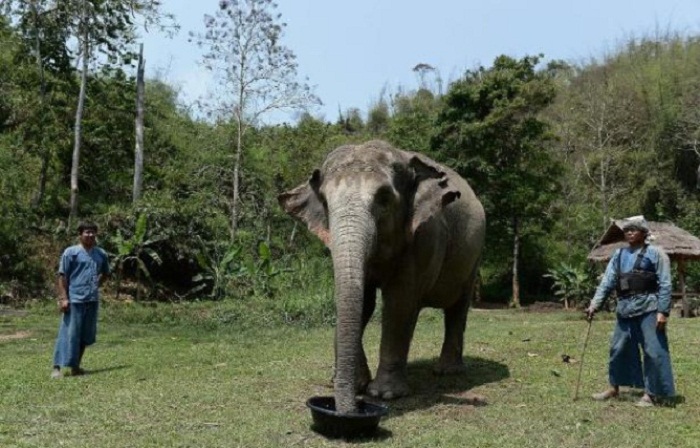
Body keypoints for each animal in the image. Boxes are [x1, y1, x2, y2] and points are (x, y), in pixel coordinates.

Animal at [278, 140, 485, 414]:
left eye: (384, 198)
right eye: (324, 201)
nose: (347, 410)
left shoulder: (424, 236)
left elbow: (399, 302)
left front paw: (384, 393)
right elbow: (363, 303)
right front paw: (356, 384)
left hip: (474, 257)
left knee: (457, 308)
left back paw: (446, 372)